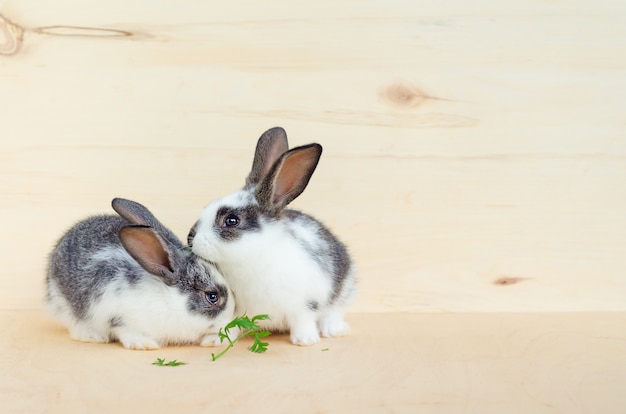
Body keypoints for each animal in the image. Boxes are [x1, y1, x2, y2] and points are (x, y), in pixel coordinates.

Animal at [44, 197, 234, 350]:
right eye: (212, 297)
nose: (228, 320)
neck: (169, 301)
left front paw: (216, 340)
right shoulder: (116, 315)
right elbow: (125, 330)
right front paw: (143, 344)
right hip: (65, 305)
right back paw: (92, 336)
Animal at [186, 127, 356, 346]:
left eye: (232, 220)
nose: (190, 239)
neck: (252, 258)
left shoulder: (305, 303)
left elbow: (303, 320)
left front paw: (305, 340)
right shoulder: (234, 309)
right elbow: (230, 325)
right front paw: (216, 341)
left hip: (345, 289)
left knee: (333, 312)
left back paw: (334, 330)